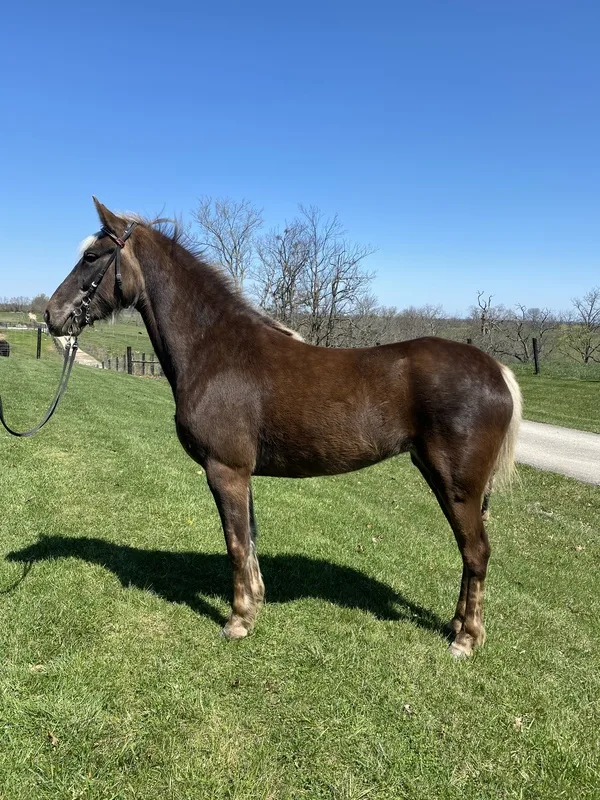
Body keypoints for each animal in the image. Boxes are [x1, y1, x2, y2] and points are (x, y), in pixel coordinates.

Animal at [45, 198, 521, 658]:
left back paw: (466, 640)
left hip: (456, 485)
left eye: (91, 257)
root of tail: (497, 372)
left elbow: (236, 544)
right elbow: (250, 540)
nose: (51, 315)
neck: (214, 349)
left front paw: (238, 621)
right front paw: (255, 603)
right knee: (469, 552)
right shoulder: (241, 474)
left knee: (476, 552)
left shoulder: (225, 471)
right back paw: (457, 626)